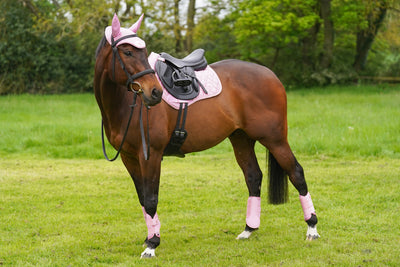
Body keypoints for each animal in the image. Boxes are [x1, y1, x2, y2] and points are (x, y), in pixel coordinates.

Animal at [94, 13, 318, 258]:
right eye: (127, 52)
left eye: (143, 52)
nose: (155, 92)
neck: (126, 104)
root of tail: (271, 75)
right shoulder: (129, 158)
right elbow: (143, 198)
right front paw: (150, 237)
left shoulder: (150, 156)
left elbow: (151, 199)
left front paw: (152, 245)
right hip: (241, 139)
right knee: (253, 176)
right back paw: (249, 229)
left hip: (274, 139)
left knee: (296, 172)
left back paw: (312, 228)